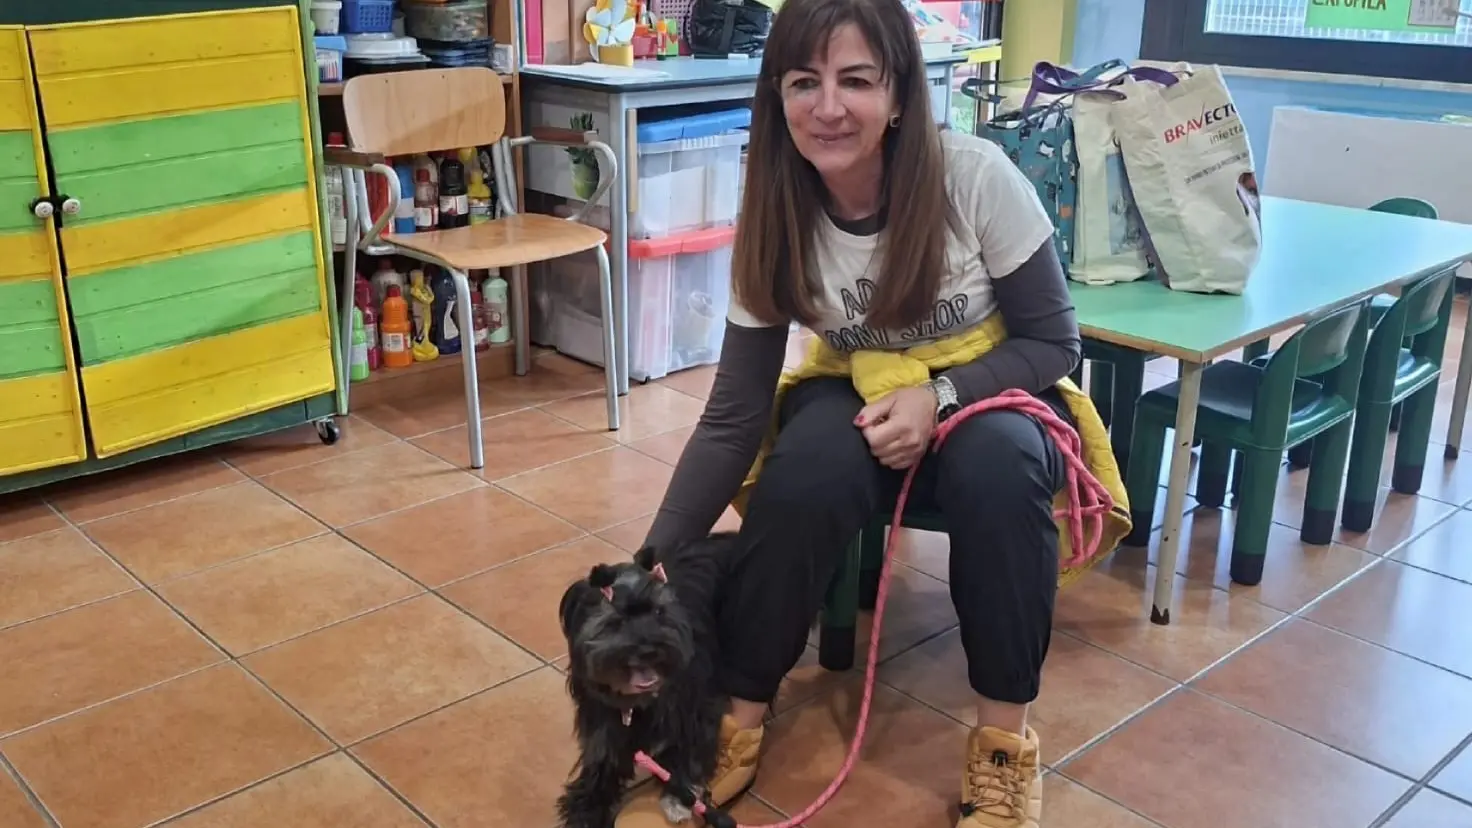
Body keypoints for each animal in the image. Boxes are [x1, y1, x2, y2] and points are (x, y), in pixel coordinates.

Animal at [556, 534, 737, 828]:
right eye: (616, 621)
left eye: (659, 612)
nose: (650, 649)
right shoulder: (604, 723)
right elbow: (601, 764)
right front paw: (586, 811)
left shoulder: (694, 706)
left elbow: (689, 748)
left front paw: (679, 798)